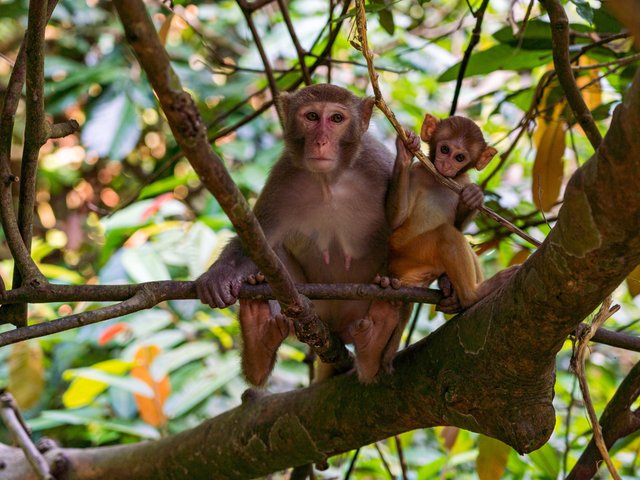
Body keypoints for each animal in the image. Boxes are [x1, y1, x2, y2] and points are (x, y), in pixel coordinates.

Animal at [196, 83, 410, 386]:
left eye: (336, 119)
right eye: (311, 117)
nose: (320, 141)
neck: (328, 181)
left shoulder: (376, 162)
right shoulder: (283, 178)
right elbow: (256, 241)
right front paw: (219, 275)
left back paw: (373, 349)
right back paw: (258, 339)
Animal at [384, 113, 510, 312]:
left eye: (459, 157)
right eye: (444, 149)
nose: (446, 164)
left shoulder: (463, 181)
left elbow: (459, 224)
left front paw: (474, 197)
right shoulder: (416, 173)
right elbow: (397, 219)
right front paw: (405, 151)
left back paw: (452, 293)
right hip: (410, 255)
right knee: (447, 234)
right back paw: (471, 295)